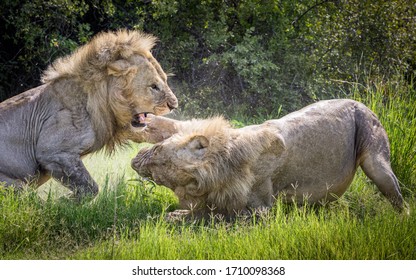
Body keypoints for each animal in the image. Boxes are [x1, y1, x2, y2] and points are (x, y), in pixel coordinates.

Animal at [0, 29, 177, 199]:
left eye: (165, 80)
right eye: (154, 86)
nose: (174, 105)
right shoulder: (53, 152)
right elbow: (90, 188)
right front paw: (62, 202)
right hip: (14, 185)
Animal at [132, 99, 406, 220]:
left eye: (158, 160)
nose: (135, 160)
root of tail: (361, 103)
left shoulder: (262, 210)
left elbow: (217, 218)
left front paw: (172, 217)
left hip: (374, 153)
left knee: (395, 193)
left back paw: (402, 220)